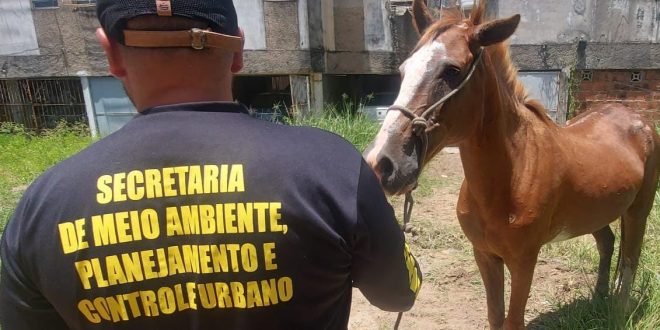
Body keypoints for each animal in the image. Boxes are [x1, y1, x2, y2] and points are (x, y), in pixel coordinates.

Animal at [364, 1, 656, 328]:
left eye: (452, 70)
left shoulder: (523, 261)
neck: (512, 176)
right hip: (596, 212)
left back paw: (618, 308)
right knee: (607, 243)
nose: (381, 163)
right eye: (403, 71)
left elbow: (512, 320)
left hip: (638, 211)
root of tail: (634, 117)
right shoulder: (485, 255)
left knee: (630, 259)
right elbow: (495, 315)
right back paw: (597, 298)